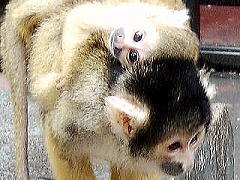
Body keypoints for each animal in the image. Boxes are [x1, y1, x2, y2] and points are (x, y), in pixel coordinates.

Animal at [0, 0, 212, 180]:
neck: (113, 131)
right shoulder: (80, 112)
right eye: (174, 146)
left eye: (194, 139)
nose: (187, 163)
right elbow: (60, 143)